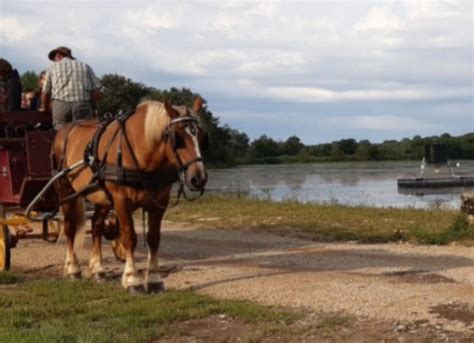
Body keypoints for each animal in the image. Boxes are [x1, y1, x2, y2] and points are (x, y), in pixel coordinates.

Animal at [51, 98, 207, 294]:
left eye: (200, 135)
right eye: (177, 137)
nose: (198, 178)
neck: (140, 149)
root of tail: (63, 131)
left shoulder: (159, 203)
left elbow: (154, 238)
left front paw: (154, 279)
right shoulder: (121, 201)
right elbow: (129, 238)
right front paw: (133, 279)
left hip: (101, 197)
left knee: (96, 226)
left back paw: (98, 269)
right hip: (67, 191)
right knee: (69, 227)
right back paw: (73, 268)